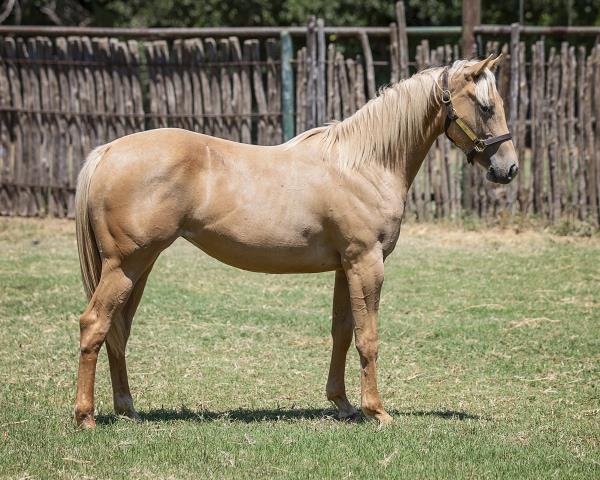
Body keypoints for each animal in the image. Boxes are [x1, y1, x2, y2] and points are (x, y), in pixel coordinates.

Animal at [74, 55, 516, 428]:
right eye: (486, 107)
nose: (508, 168)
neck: (363, 164)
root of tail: (107, 151)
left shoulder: (345, 267)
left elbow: (342, 332)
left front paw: (343, 404)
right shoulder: (366, 263)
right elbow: (367, 337)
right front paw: (377, 412)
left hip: (139, 266)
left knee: (118, 329)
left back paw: (127, 409)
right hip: (126, 264)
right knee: (95, 324)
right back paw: (86, 417)